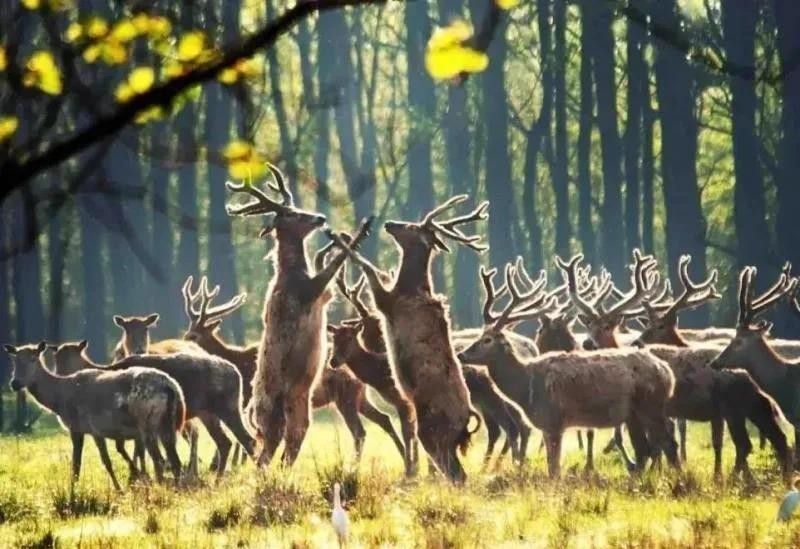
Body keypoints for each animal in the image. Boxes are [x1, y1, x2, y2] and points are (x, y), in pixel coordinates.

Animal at [6, 340, 184, 490]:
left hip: (147, 422)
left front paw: (74, 495)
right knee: (175, 461)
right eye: (14, 360)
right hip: (168, 423)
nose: (14, 383)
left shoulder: (82, 427)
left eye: (33, 359)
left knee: (160, 460)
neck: (59, 400)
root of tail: (171, 388)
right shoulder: (95, 430)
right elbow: (103, 461)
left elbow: (81, 464)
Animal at [225, 163, 372, 466]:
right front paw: (361, 230)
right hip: (271, 414)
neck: (293, 273)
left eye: (296, 206)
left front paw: (340, 239)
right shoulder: (308, 292)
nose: (320, 217)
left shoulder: (323, 296)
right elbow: (330, 269)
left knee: (291, 444)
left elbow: (325, 265)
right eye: (291, 213)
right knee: (266, 454)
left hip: (300, 408)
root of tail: (250, 409)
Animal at [324, 195, 488, 482]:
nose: (390, 223)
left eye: (411, 227)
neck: (408, 286)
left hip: (433, 429)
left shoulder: (386, 301)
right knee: (457, 471)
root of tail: (467, 417)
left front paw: (339, 235)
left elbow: (368, 267)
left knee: (455, 472)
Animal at [460, 260, 680, 478]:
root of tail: (667, 373)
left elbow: (554, 469)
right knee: (645, 449)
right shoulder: (547, 426)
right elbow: (551, 466)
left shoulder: (553, 420)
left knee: (667, 443)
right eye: (479, 335)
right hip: (634, 415)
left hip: (651, 406)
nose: (462, 354)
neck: (526, 387)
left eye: (487, 340)